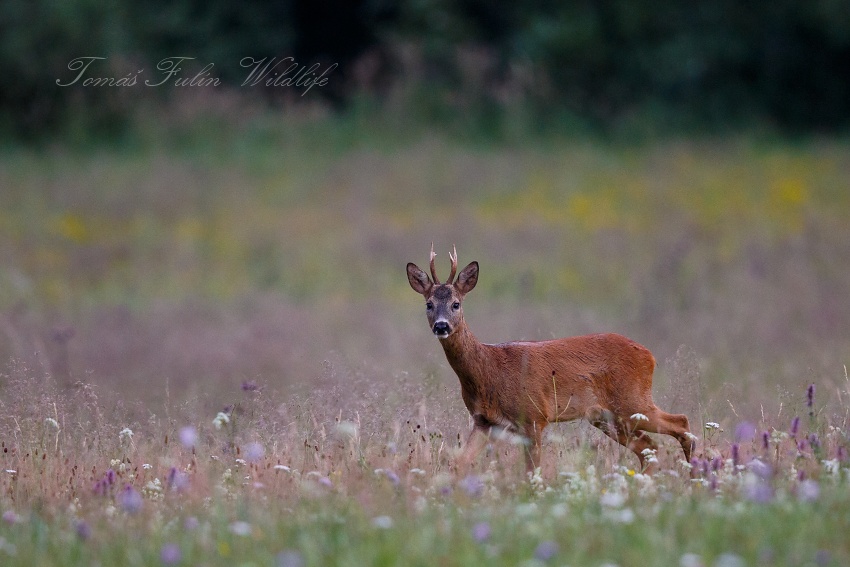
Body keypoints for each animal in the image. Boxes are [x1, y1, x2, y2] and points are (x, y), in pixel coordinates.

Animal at [406, 244, 695, 474]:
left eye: (456, 304)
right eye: (429, 304)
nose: (441, 326)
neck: (489, 370)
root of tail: (649, 355)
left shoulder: (534, 417)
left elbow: (532, 472)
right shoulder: (484, 422)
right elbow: (458, 464)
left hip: (632, 401)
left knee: (680, 423)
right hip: (605, 416)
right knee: (650, 446)